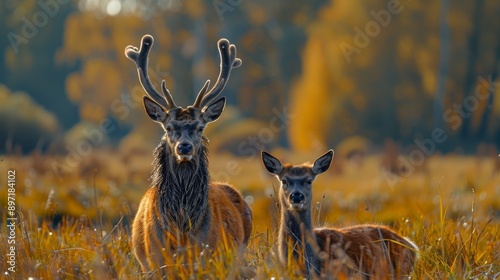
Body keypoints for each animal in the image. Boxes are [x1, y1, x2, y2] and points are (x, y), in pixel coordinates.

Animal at [124, 35, 250, 274]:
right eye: (169, 127)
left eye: (200, 127)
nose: (184, 147)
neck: (181, 228)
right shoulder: (155, 260)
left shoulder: (208, 255)